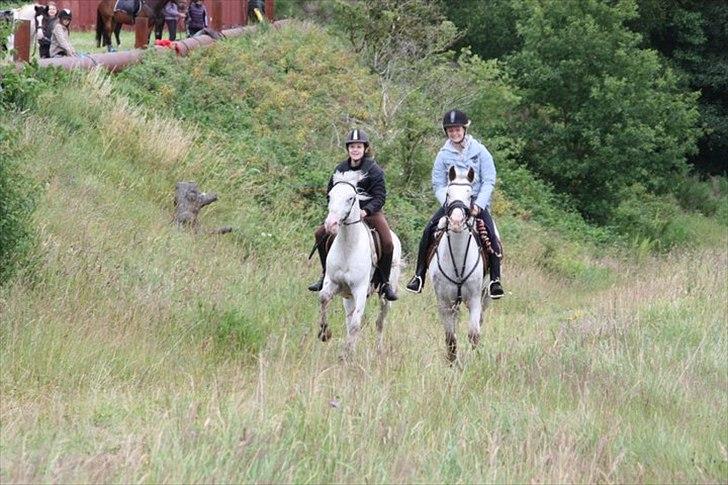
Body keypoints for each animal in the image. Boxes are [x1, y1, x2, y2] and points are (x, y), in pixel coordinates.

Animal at [318, 168, 404, 358]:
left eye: (351, 198)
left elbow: (356, 323)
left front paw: (347, 354)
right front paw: (325, 333)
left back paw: (378, 350)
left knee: (380, 322)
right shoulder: (333, 282)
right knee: (350, 319)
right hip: (348, 297)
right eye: (330, 195)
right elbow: (323, 298)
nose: (331, 224)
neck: (348, 248)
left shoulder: (360, 289)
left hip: (384, 296)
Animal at [432, 164, 490, 362]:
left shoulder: (474, 299)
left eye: (470, 195)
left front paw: (473, 361)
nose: (456, 221)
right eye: (448, 193)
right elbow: (450, 338)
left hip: (485, 297)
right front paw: (452, 363)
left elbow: (474, 334)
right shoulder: (444, 303)